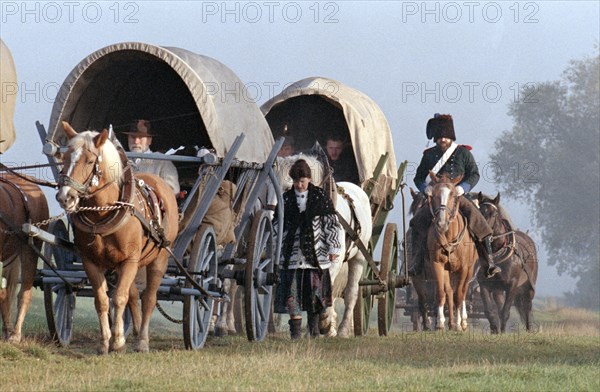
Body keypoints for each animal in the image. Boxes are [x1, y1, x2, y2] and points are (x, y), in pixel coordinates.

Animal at [55, 121, 178, 352]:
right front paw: (106, 341)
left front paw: (118, 341)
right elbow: (103, 300)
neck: (104, 213)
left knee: (148, 297)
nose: (65, 197)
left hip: (159, 258)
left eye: (90, 160)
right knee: (134, 295)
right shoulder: (91, 262)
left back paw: (142, 340)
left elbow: (119, 298)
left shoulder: (129, 260)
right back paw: (136, 332)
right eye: (64, 158)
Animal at [274, 153, 370, 336]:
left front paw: (325, 322)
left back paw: (342, 329)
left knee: (351, 293)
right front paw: (320, 326)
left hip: (359, 256)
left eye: (289, 187)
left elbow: (324, 288)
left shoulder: (334, 260)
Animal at [426, 173, 478, 330]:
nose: (442, 223)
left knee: (463, 291)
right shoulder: (438, 265)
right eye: (434, 194)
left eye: (454, 195)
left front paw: (460, 324)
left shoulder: (464, 268)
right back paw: (451, 322)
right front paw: (440, 323)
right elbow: (442, 292)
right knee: (449, 291)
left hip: (469, 270)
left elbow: (459, 295)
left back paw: (462, 321)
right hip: (449, 270)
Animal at [478, 193, 540, 334]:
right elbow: (490, 310)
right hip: (498, 290)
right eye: (479, 211)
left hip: (528, 286)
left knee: (527, 306)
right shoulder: (484, 285)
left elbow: (505, 311)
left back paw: (529, 329)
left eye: (494, 214)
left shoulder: (512, 285)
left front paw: (502, 331)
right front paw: (495, 331)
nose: (483, 234)